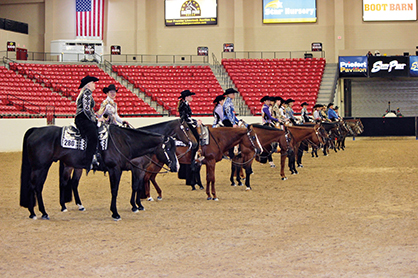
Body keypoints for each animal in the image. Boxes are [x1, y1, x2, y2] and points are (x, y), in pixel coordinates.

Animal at [20, 125, 177, 220]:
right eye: (168, 148)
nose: (176, 166)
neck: (124, 142)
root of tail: (36, 130)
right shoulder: (118, 169)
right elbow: (116, 190)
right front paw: (116, 212)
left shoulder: (136, 170)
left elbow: (135, 187)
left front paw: (136, 205)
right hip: (40, 167)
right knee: (35, 186)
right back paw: (36, 213)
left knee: (55, 185)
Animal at [59, 119, 198, 213]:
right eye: (187, 129)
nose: (195, 143)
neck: (135, 143)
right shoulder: (136, 168)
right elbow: (135, 186)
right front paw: (135, 206)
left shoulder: (140, 169)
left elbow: (137, 185)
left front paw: (138, 205)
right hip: (68, 167)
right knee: (65, 183)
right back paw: (64, 206)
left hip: (77, 168)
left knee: (74, 183)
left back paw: (80, 205)